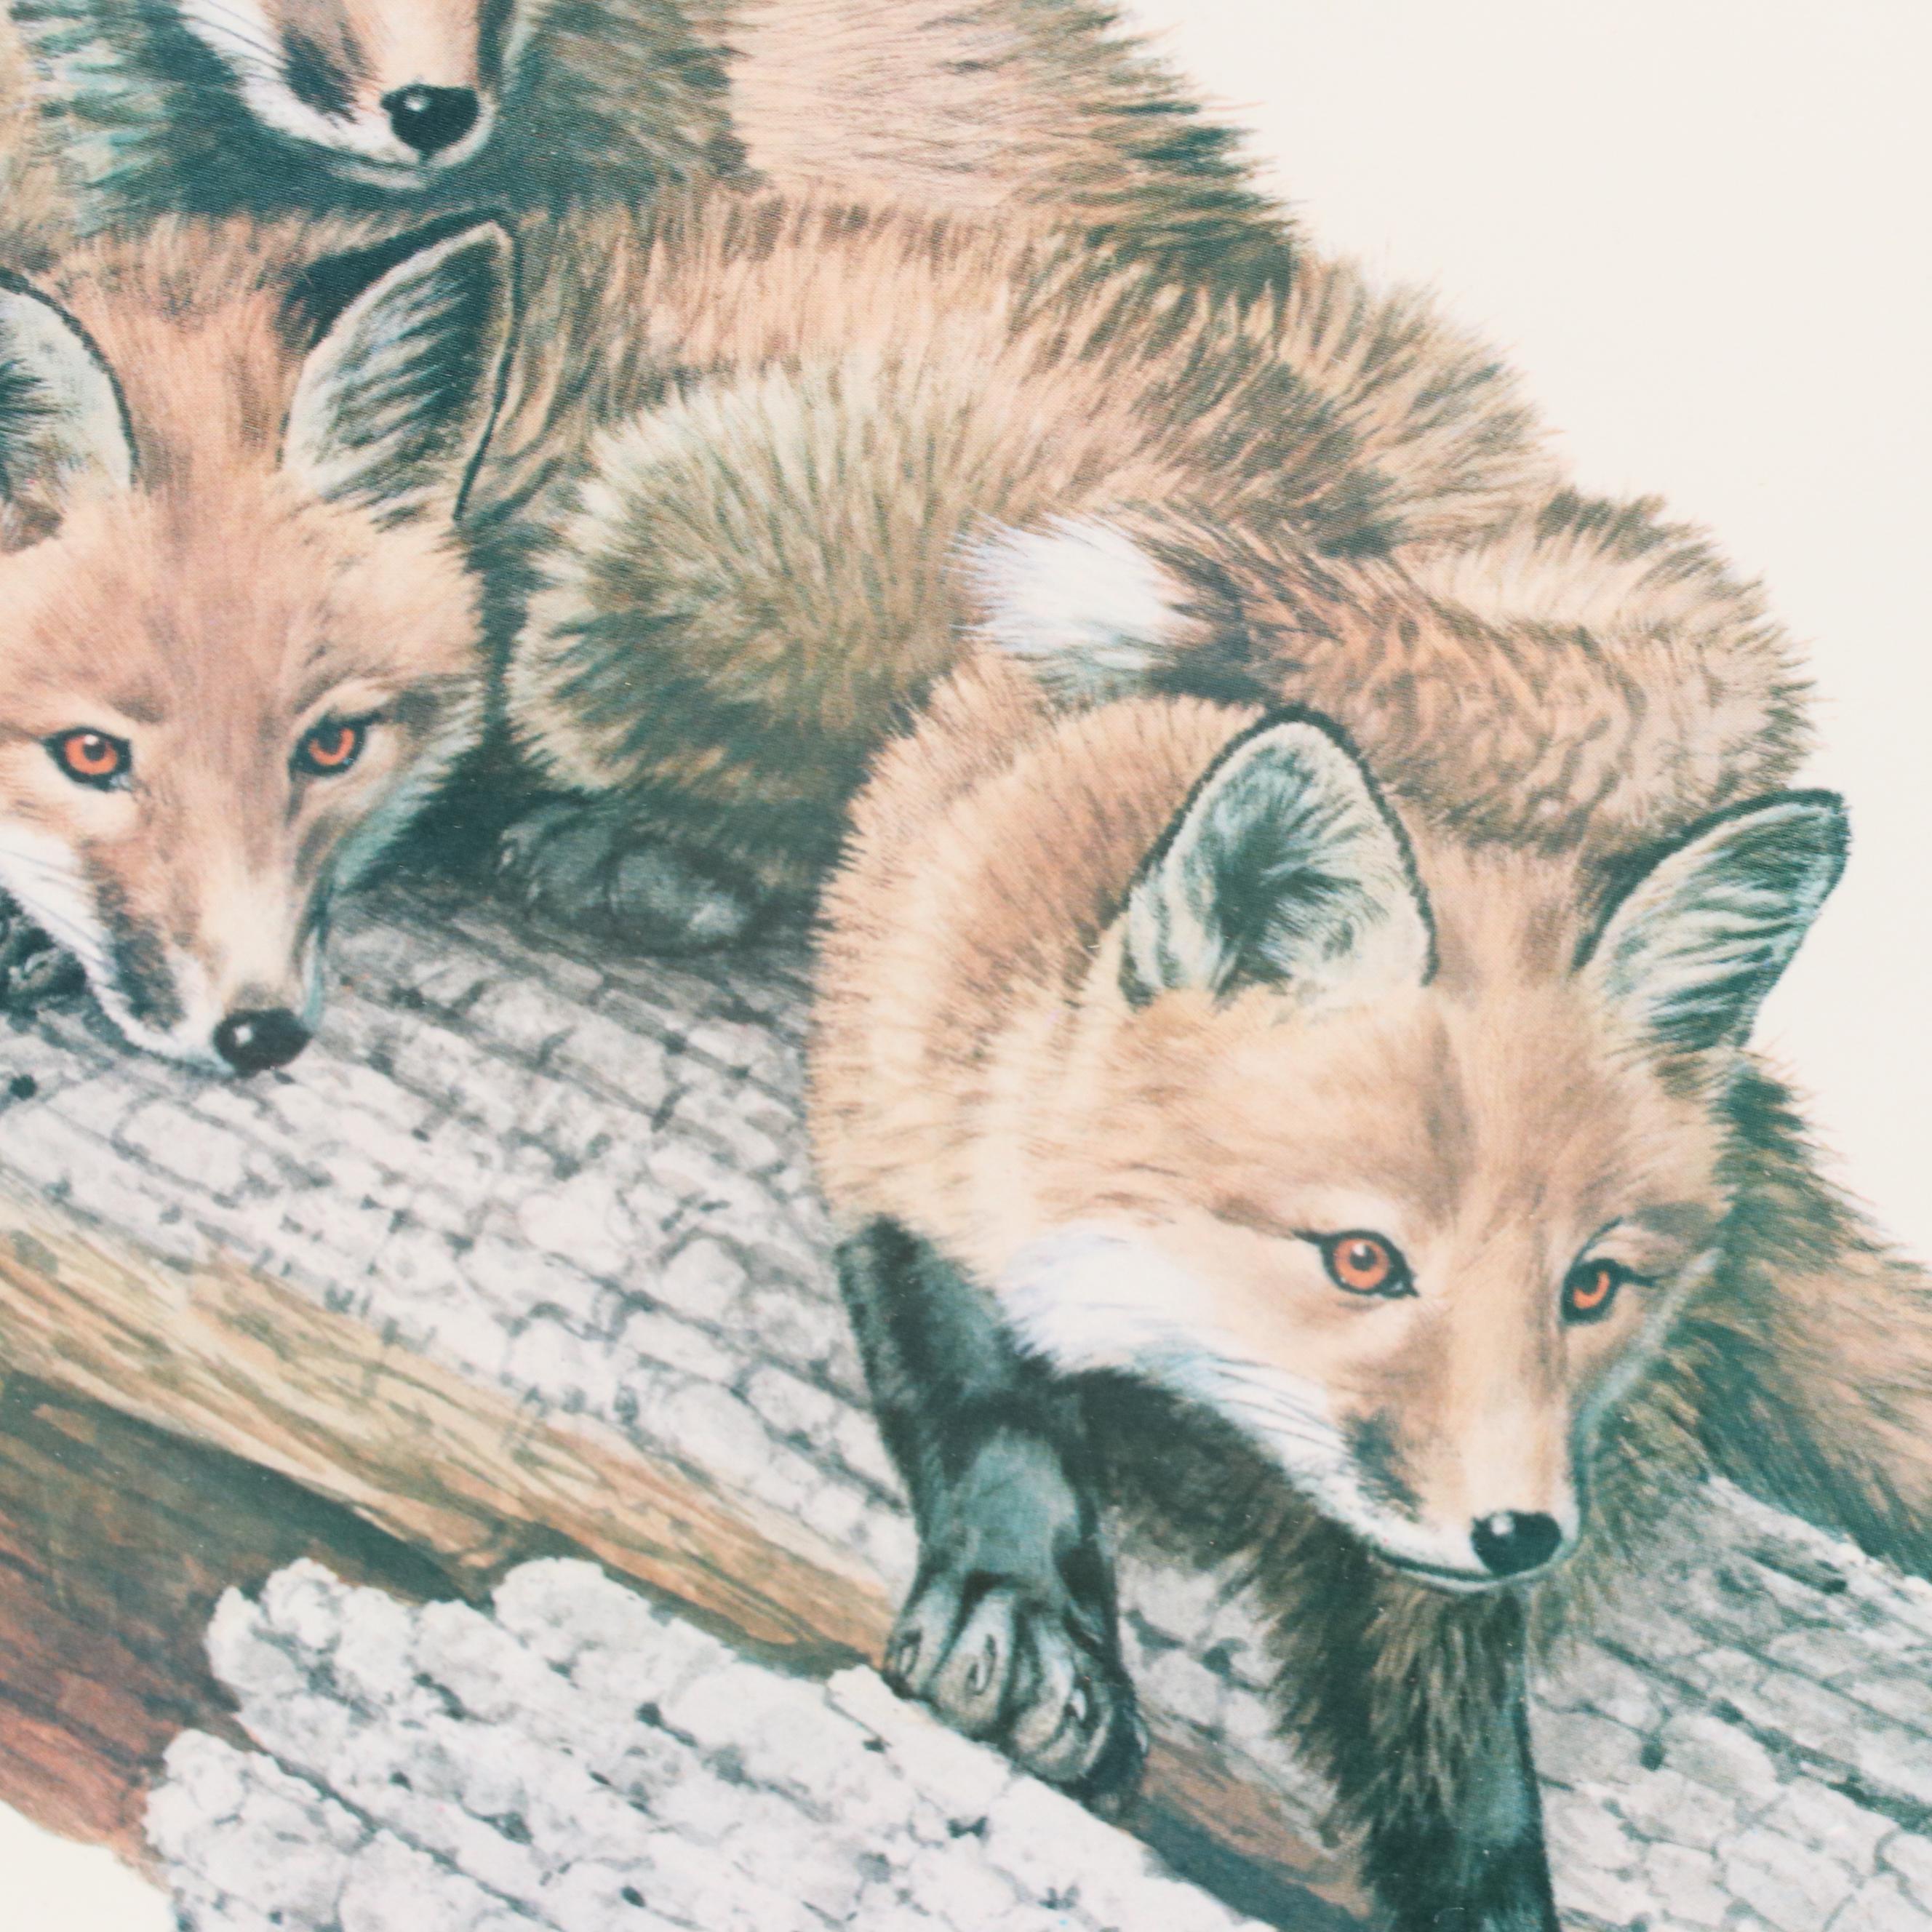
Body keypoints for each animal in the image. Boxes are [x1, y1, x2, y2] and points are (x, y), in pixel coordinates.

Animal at [802, 515, 1932, 1929]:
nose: (1520, 1537)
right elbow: (987, 1396)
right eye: (1361, 1259)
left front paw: (1485, 1887)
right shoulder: (899, 1081)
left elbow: (1455, 1733)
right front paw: (1026, 1616)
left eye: (1591, 1288)